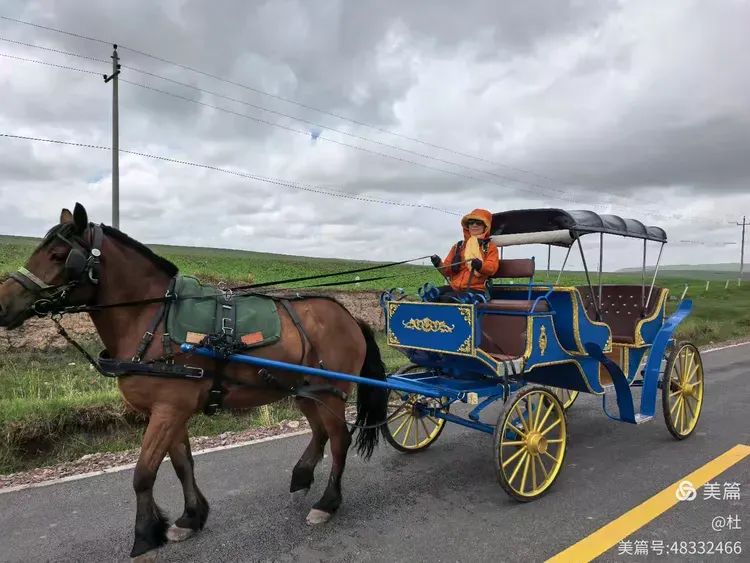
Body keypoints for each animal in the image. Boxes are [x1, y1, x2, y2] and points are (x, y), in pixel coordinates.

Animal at [0, 203, 389, 561]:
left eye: (58, 255)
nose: (2, 305)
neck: (152, 318)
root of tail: (350, 316)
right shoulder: (171, 410)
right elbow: (182, 464)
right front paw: (190, 519)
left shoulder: (169, 409)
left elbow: (144, 473)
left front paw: (145, 534)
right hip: (307, 391)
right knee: (321, 432)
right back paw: (302, 477)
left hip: (332, 392)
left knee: (339, 440)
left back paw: (327, 502)